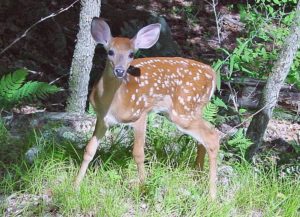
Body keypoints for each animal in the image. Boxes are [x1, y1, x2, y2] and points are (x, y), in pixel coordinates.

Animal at [74, 17, 220, 200]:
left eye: (131, 54)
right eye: (110, 52)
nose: (120, 71)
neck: (112, 103)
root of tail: (212, 73)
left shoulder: (140, 114)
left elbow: (138, 153)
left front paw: (144, 187)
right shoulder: (102, 119)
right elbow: (89, 149)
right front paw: (75, 184)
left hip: (183, 111)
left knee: (212, 136)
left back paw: (212, 195)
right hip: (193, 109)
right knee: (207, 134)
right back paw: (198, 173)